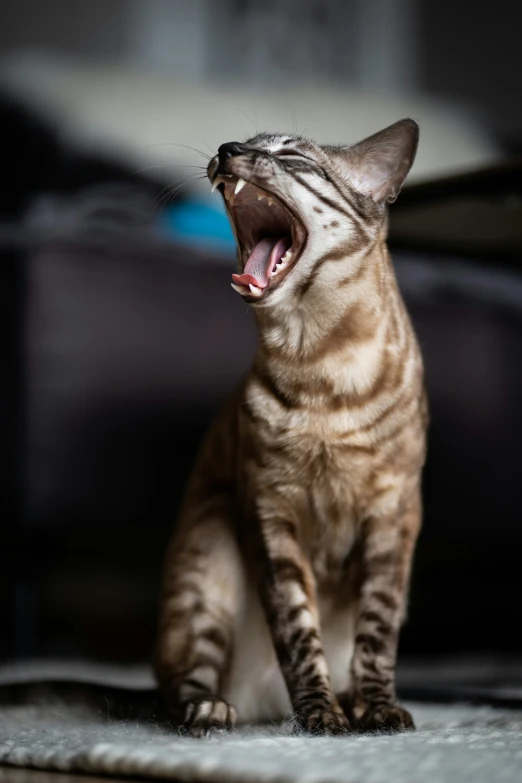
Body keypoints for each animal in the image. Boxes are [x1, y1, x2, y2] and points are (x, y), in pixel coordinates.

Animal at [154, 119, 426, 740]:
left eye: (291, 157)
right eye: (243, 145)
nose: (228, 149)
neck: (318, 362)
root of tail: (263, 708)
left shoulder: (392, 516)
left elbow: (377, 637)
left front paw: (377, 711)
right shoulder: (271, 515)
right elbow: (299, 634)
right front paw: (321, 718)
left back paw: (352, 704)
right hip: (210, 558)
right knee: (182, 685)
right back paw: (217, 711)